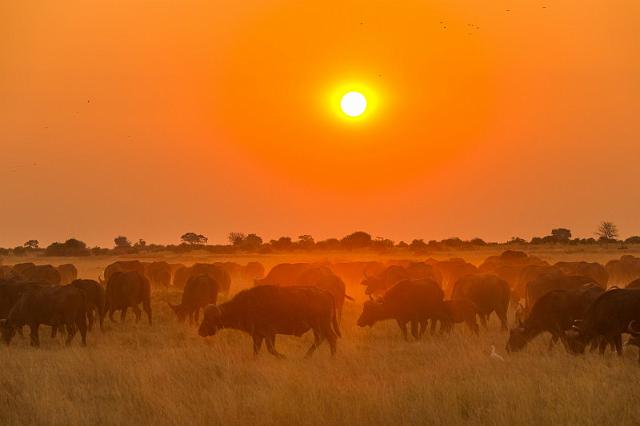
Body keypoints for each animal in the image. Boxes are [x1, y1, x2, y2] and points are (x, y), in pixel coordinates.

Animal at [199, 284, 340, 358]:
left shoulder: (268, 334)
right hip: (317, 328)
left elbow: (271, 350)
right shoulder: (258, 336)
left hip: (322, 325)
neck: (244, 305)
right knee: (320, 340)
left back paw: (331, 358)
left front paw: (284, 357)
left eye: (209, 318)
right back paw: (306, 357)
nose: (200, 331)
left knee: (332, 338)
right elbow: (256, 351)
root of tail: (325, 292)